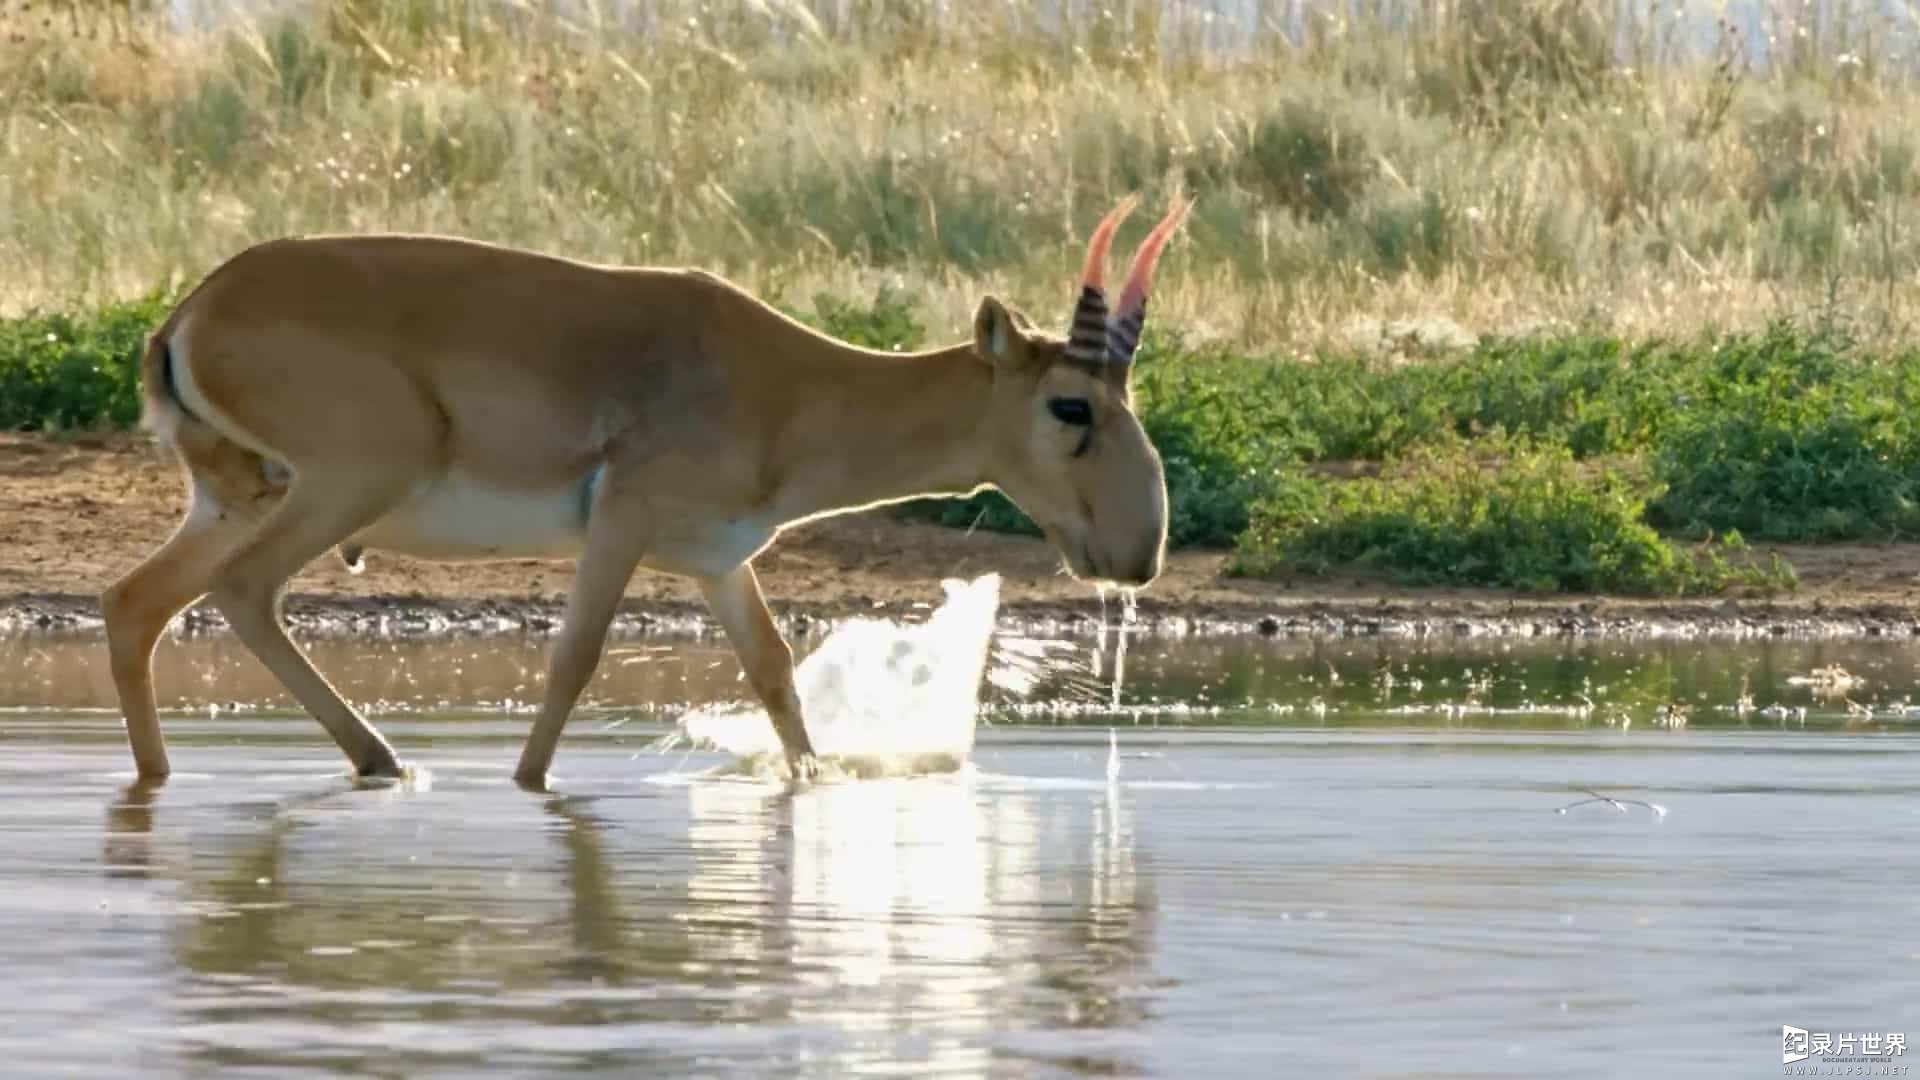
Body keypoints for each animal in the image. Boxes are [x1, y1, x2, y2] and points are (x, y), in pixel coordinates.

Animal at [105, 191, 1190, 780]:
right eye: (1070, 405)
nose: (1138, 553)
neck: (786, 385)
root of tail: (195, 310)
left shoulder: (717, 563)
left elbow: (774, 674)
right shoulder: (621, 525)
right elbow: (572, 660)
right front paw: (528, 787)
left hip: (237, 498)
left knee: (133, 603)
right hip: (344, 485)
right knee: (242, 592)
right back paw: (381, 758)